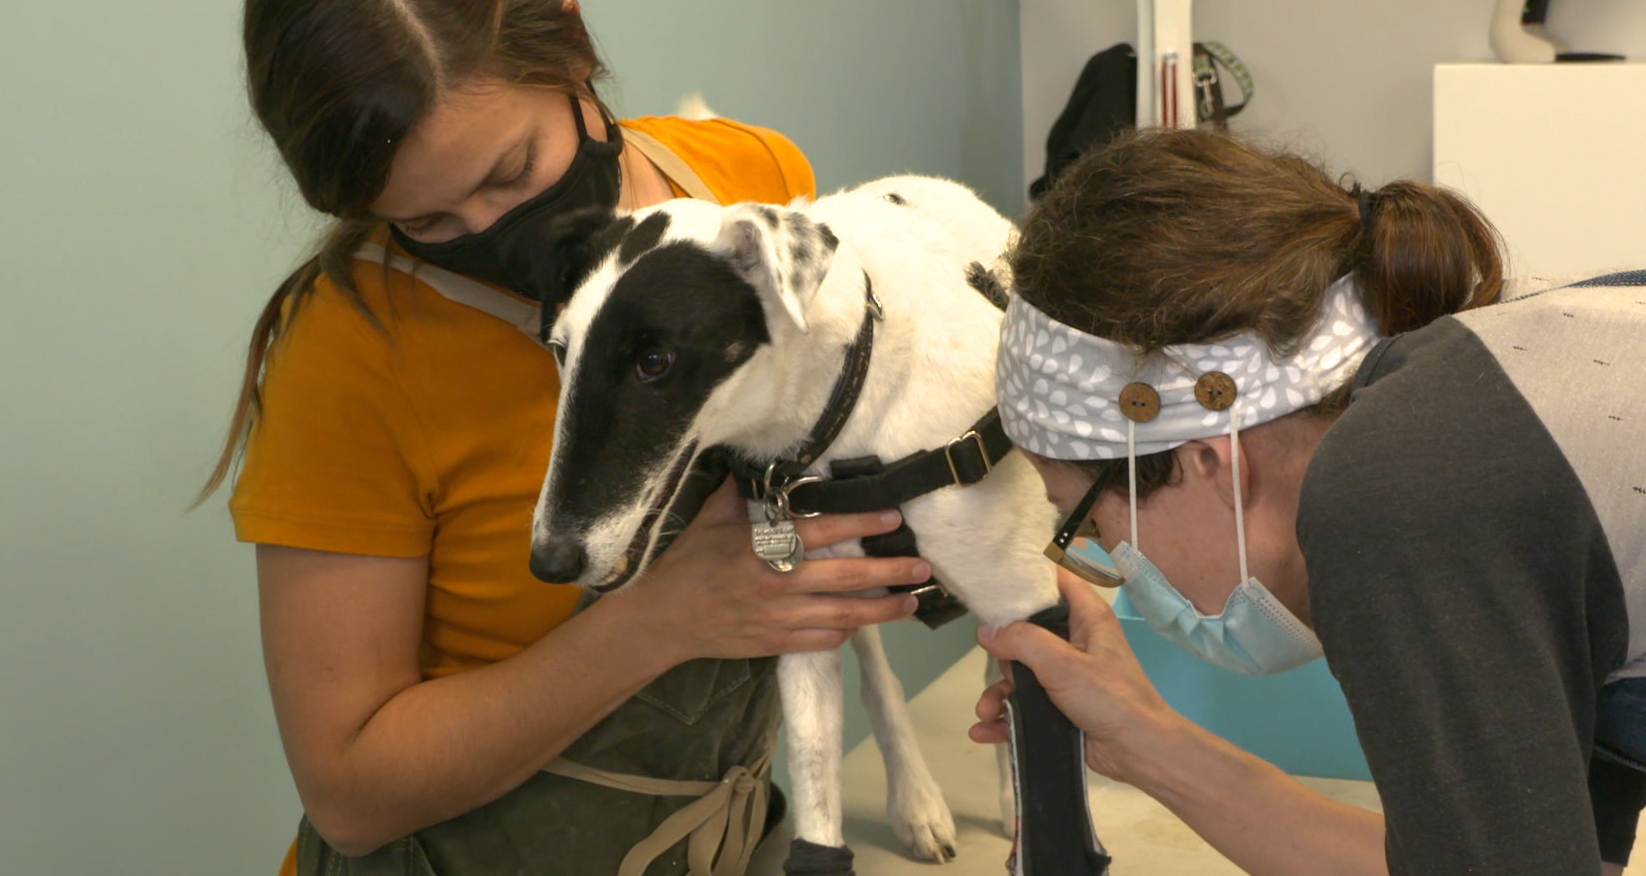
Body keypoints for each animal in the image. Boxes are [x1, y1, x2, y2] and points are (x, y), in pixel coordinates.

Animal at [533, 176, 1060, 869]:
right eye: (561, 351)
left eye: (654, 360)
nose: (549, 561)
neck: (846, 410)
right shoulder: (801, 624)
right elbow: (815, 780)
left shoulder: (1028, 603)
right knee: (880, 676)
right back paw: (916, 798)